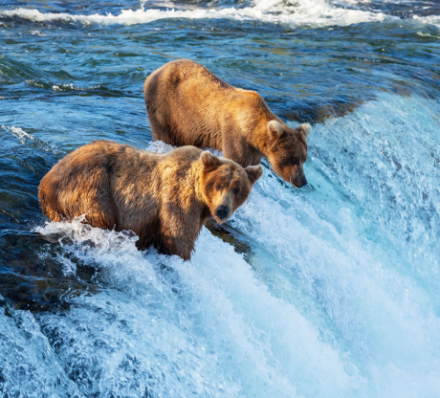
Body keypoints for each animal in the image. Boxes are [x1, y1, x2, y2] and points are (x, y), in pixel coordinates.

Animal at [37, 141, 262, 262]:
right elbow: (178, 237)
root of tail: (44, 182)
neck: (201, 200)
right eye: (218, 184)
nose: (222, 210)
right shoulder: (177, 199)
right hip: (91, 186)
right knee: (100, 215)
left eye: (237, 189)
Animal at [143, 59, 312, 188]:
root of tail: (153, 73)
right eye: (293, 158)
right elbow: (236, 160)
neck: (252, 131)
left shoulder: (254, 150)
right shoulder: (235, 135)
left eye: (304, 158)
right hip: (165, 106)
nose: (302, 181)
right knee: (163, 134)